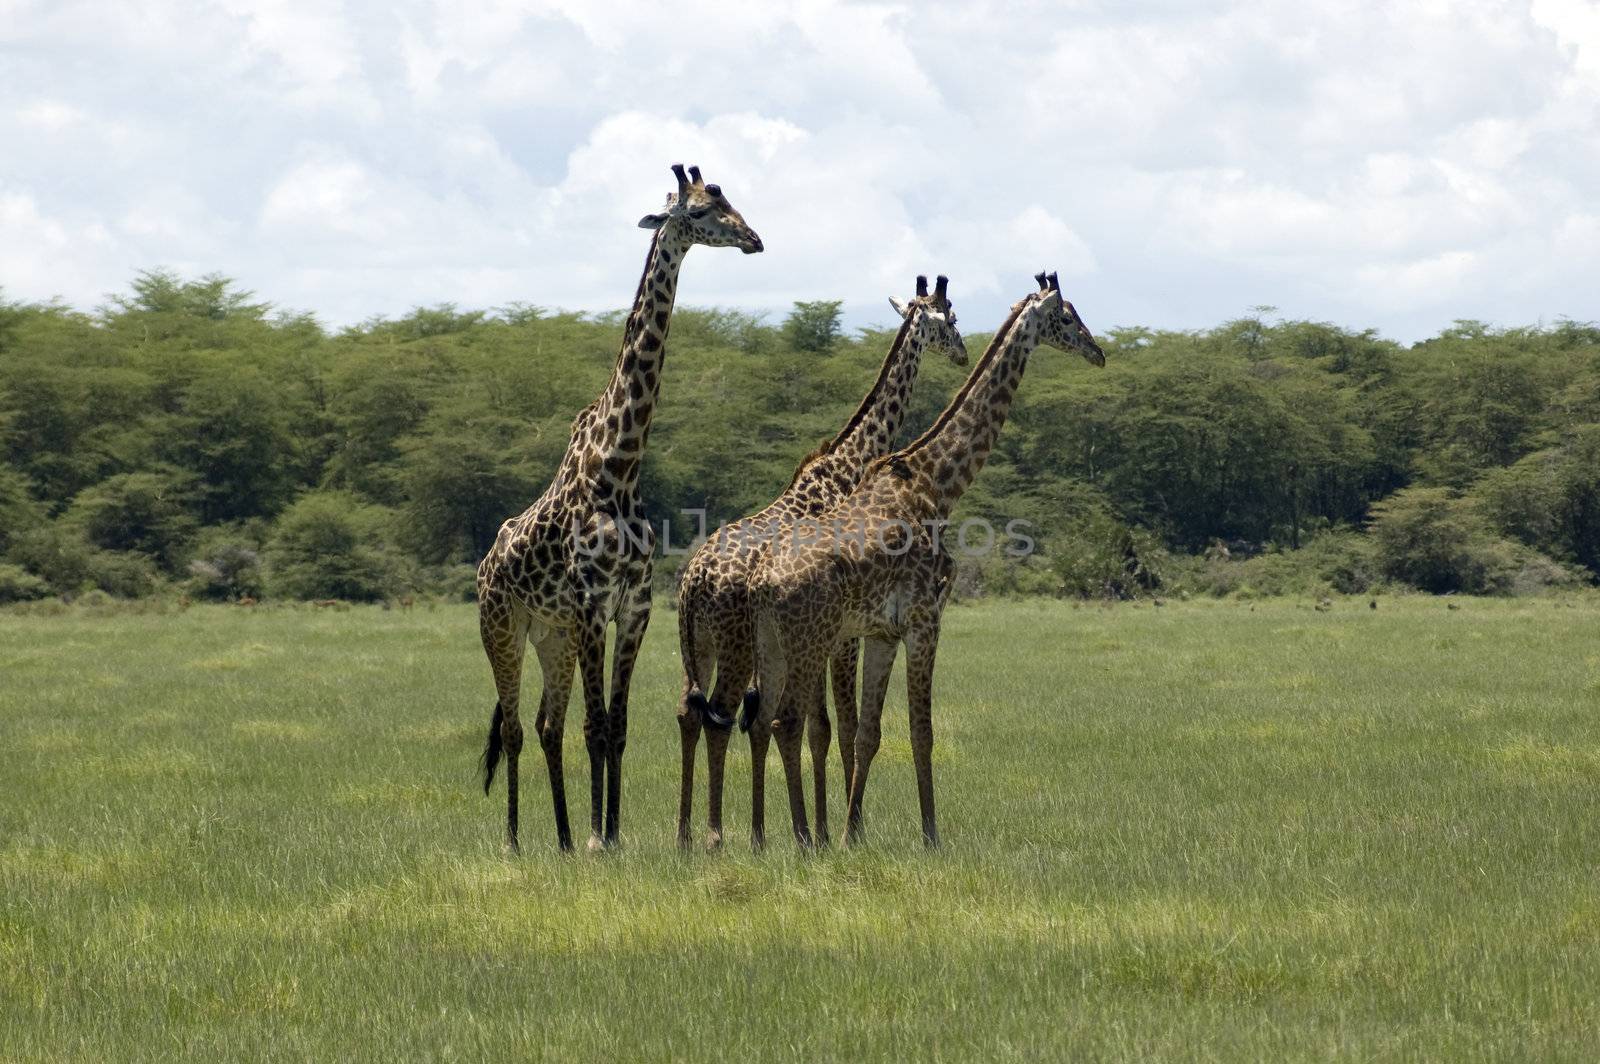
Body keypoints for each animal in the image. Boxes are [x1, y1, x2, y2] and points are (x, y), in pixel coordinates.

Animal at [473, 161, 761, 851]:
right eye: (700, 211)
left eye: (730, 200)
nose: (755, 239)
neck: (621, 467)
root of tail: (486, 563)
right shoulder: (590, 606)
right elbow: (597, 726)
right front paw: (602, 840)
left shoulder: (632, 607)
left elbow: (620, 727)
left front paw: (611, 833)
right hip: (502, 628)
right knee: (516, 729)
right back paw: (517, 839)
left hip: (550, 637)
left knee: (546, 726)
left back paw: (562, 838)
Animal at [672, 273, 960, 844]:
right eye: (951, 321)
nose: (963, 353)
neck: (847, 463)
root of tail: (693, 582)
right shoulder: (838, 631)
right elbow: (829, 724)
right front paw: (834, 830)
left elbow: (816, 724)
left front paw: (824, 826)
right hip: (737, 646)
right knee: (723, 715)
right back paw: (718, 837)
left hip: (702, 646)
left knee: (691, 713)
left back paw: (688, 836)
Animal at [745, 272, 1100, 844]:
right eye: (1067, 317)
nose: (1099, 352)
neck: (937, 483)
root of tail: (760, 584)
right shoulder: (925, 619)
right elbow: (921, 730)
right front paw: (931, 835)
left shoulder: (882, 632)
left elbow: (869, 733)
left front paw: (852, 833)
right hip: (809, 641)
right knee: (788, 721)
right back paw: (802, 839)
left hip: (771, 642)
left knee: (763, 721)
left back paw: (764, 838)